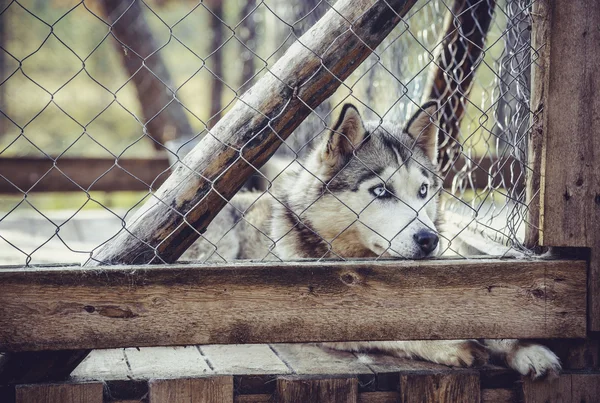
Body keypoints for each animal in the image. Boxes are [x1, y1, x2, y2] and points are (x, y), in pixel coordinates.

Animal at [184, 101, 564, 378]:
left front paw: (526, 349)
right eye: (381, 191)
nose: (429, 239)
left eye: (423, 190)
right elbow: (397, 328)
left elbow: (493, 317)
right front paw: (454, 345)